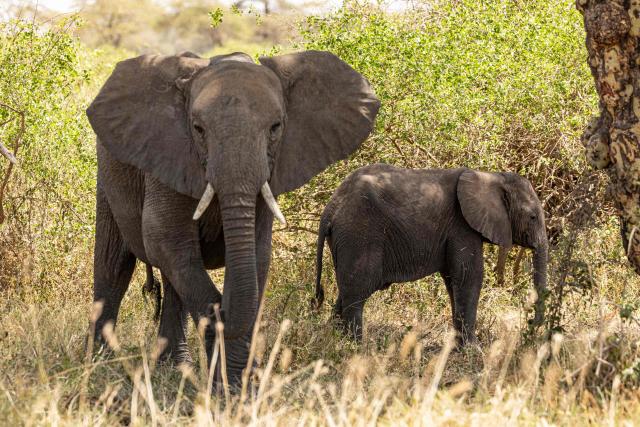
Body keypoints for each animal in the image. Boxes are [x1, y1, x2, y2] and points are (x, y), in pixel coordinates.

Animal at [86, 50, 380, 385]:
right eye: (198, 129)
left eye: (276, 127)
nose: (223, 314)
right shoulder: (169, 155)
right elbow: (162, 238)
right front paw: (227, 373)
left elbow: (256, 254)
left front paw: (238, 382)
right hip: (108, 176)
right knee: (115, 264)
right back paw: (99, 363)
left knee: (172, 278)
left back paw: (175, 367)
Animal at [314, 164, 548, 344]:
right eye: (533, 217)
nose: (530, 327)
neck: (492, 176)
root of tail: (330, 208)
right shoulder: (462, 226)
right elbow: (469, 276)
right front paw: (473, 349)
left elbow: (453, 280)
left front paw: (458, 346)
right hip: (359, 234)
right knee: (357, 291)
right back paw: (356, 347)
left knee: (347, 291)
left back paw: (336, 340)